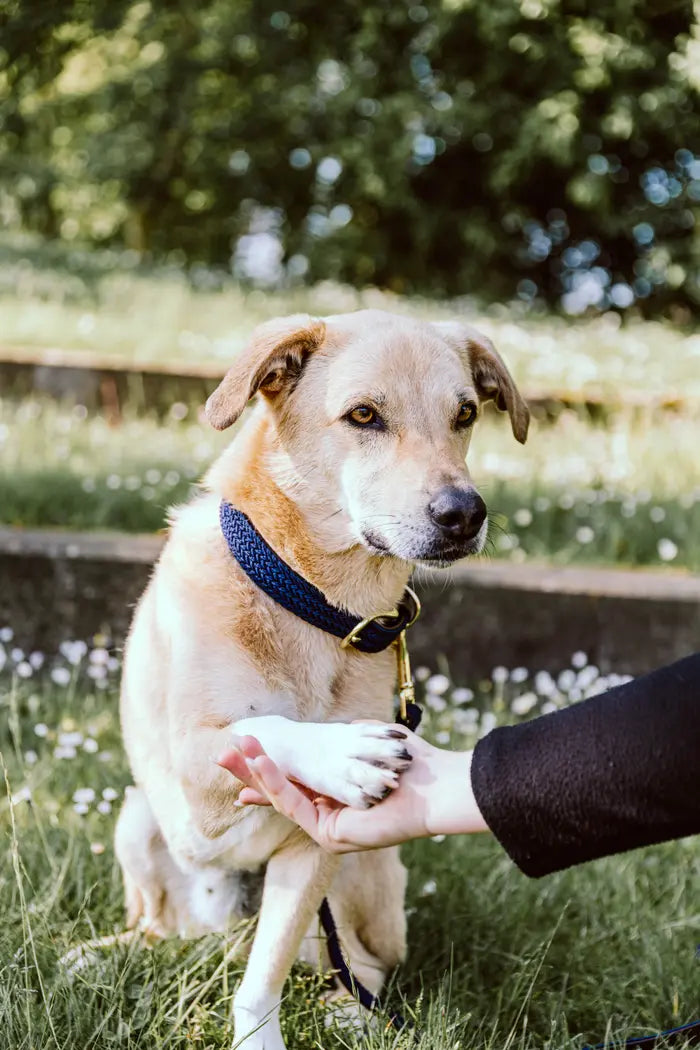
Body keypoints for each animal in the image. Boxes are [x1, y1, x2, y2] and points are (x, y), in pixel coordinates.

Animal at [114, 306, 528, 1045]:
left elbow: (262, 983)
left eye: (465, 413)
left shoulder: (317, 843)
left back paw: (350, 1012)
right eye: (363, 414)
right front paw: (340, 752)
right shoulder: (191, 760)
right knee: (157, 927)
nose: (464, 513)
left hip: (367, 869)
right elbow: (263, 728)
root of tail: (220, 931)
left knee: (353, 962)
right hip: (136, 817)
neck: (312, 602)